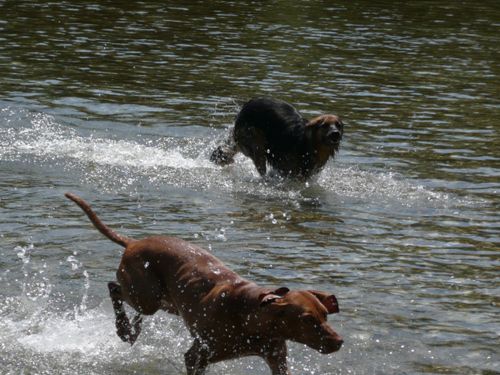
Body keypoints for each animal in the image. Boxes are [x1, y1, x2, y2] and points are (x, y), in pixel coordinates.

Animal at [64, 194, 342, 375]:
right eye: (307, 319)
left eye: (325, 314)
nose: (339, 341)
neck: (250, 315)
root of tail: (133, 242)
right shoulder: (197, 356)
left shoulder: (277, 358)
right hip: (147, 296)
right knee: (114, 288)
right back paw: (123, 328)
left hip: (167, 302)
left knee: (134, 307)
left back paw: (132, 330)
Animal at [208, 96, 344, 180]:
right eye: (324, 125)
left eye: (338, 125)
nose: (335, 133)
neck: (309, 144)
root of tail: (246, 106)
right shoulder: (287, 168)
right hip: (256, 144)